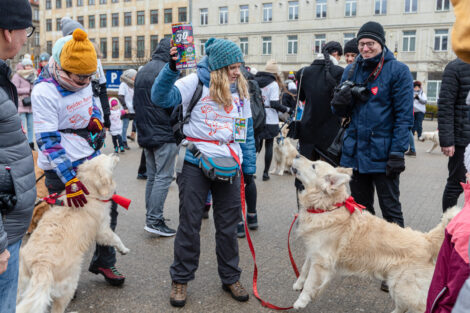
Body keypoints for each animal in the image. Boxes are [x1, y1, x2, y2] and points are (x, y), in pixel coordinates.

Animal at [16, 154, 129, 312]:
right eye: (107, 157)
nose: (115, 154)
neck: (90, 192)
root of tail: (41, 265)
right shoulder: (103, 230)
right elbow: (115, 238)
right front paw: (124, 249)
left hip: (20, 287)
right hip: (68, 285)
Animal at [290, 156, 458, 312]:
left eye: (313, 165)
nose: (297, 155)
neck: (326, 208)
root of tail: (427, 239)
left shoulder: (322, 261)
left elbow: (310, 283)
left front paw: (301, 301)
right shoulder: (313, 251)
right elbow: (304, 268)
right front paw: (298, 283)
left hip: (405, 288)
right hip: (397, 286)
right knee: (402, 307)